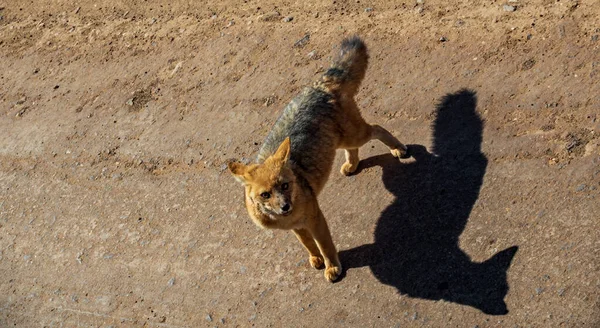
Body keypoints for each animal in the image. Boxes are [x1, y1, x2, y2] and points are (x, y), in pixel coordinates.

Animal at [226, 36, 408, 282]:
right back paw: (352, 165)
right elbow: (308, 244)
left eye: (285, 185)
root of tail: (319, 85)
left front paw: (332, 267)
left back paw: (397, 148)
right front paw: (315, 259)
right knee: (354, 148)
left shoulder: (315, 219)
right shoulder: (297, 227)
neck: (285, 218)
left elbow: (325, 245)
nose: (285, 206)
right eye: (265, 194)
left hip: (355, 135)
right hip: (341, 141)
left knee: (378, 128)